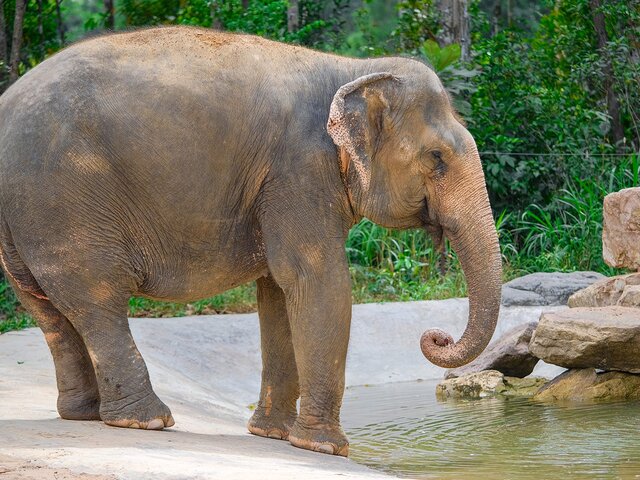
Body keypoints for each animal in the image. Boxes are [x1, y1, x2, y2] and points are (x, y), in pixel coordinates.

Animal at [0, 26, 502, 456]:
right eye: (436, 158)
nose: (435, 336)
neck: (353, 69)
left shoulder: (279, 186)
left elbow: (279, 292)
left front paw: (272, 435)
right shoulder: (298, 170)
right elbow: (317, 281)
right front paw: (325, 448)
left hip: (23, 218)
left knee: (46, 306)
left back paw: (85, 414)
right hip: (62, 201)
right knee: (96, 299)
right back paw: (147, 420)